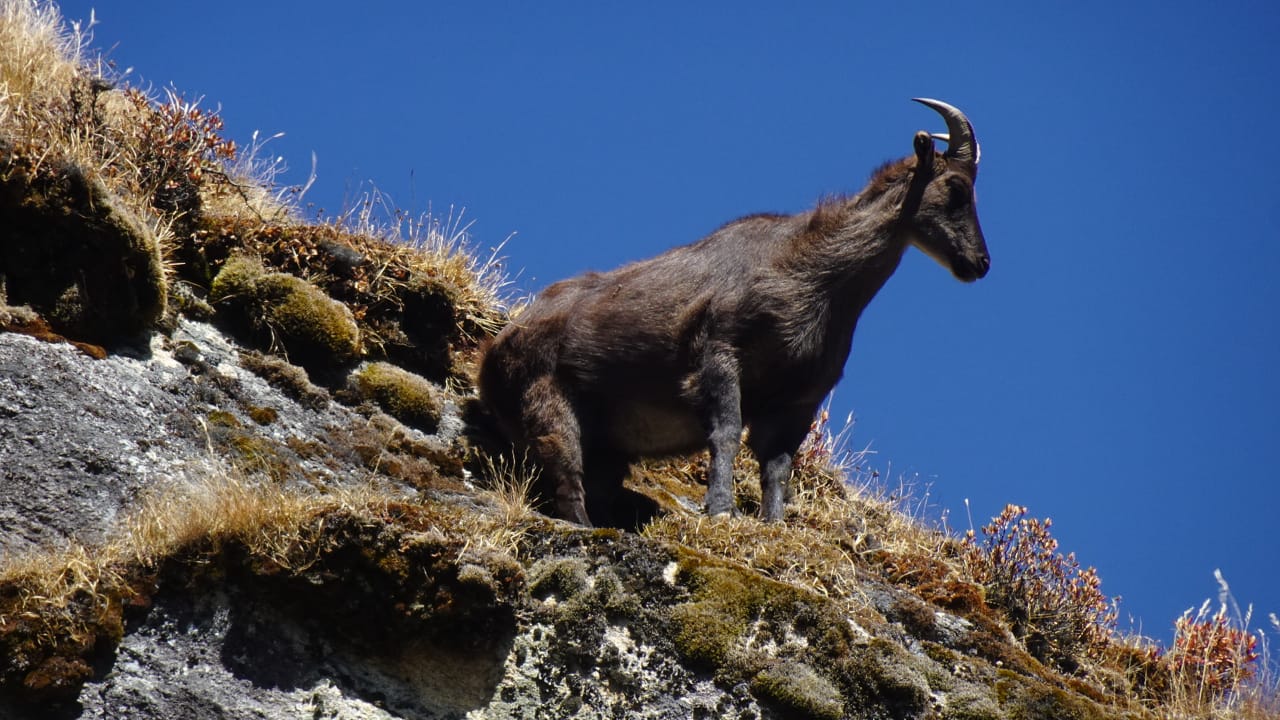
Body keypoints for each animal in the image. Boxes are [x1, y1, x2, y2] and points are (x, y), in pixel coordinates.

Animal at [481, 98, 988, 525]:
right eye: (957, 188)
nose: (980, 263)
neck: (812, 278)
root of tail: (496, 351)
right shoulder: (721, 356)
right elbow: (725, 434)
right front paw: (721, 509)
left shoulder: (799, 399)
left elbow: (778, 465)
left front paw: (775, 524)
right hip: (547, 399)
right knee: (566, 481)